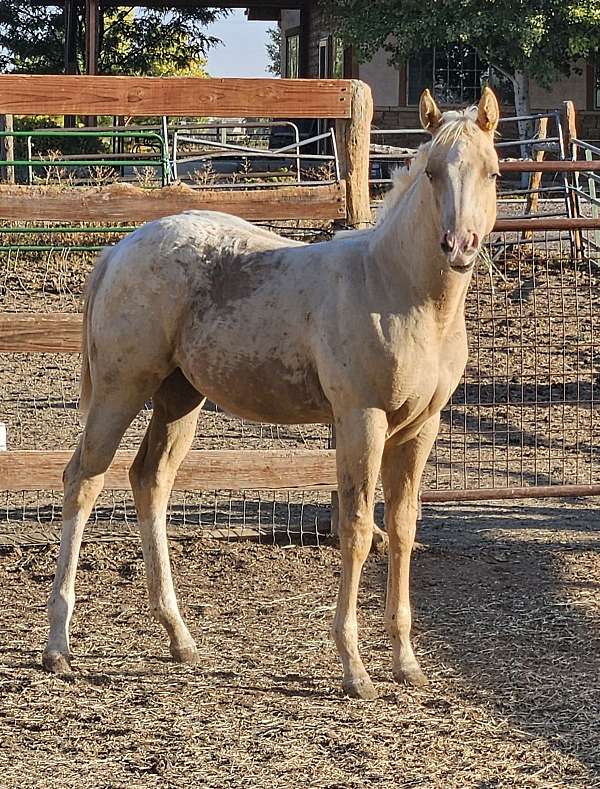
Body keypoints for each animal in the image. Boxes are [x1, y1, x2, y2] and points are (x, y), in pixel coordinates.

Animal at [42, 89, 500, 700]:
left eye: (492, 171)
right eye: (431, 172)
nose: (459, 246)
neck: (399, 290)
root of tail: (120, 249)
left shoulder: (421, 427)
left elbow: (403, 529)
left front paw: (406, 663)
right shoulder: (361, 420)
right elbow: (357, 529)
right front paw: (355, 670)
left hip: (179, 399)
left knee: (149, 480)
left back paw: (180, 638)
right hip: (122, 388)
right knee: (83, 482)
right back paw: (58, 647)